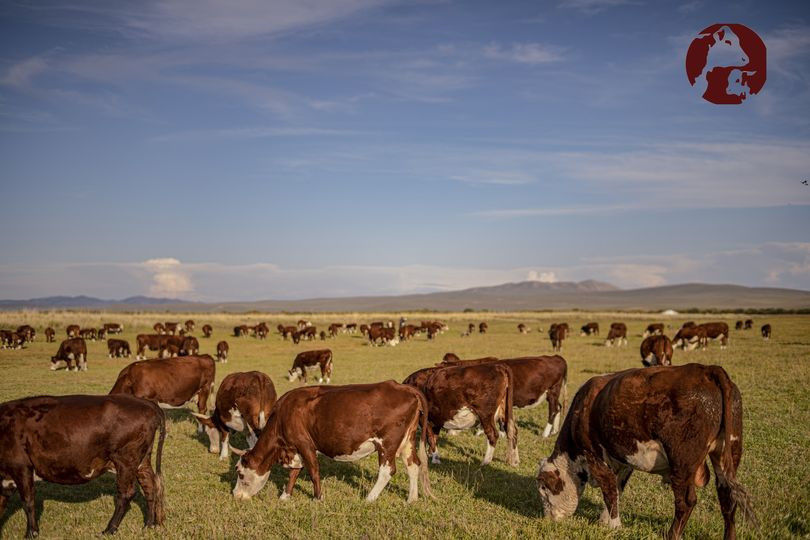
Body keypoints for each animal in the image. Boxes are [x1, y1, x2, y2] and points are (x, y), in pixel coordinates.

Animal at [0, 392, 166, 536]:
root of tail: (147, 403)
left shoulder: (20, 466)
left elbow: (28, 501)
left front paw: (31, 533)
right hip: (141, 460)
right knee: (150, 486)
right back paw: (149, 525)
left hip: (125, 459)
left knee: (126, 493)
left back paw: (109, 529)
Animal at [227, 382, 430, 504]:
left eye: (240, 473)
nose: (235, 495)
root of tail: (404, 388)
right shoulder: (296, 449)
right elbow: (294, 473)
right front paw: (285, 496)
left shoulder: (305, 444)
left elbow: (313, 472)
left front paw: (318, 498)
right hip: (407, 441)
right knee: (413, 464)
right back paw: (412, 499)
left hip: (387, 443)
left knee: (387, 471)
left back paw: (369, 498)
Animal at [532, 362, 756, 540]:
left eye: (543, 489)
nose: (547, 519)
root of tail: (707, 370)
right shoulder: (622, 461)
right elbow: (617, 489)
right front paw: (605, 521)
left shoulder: (594, 457)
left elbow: (609, 491)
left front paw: (614, 526)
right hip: (728, 452)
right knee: (727, 497)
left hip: (681, 462)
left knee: (686, 501)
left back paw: (672, 534)